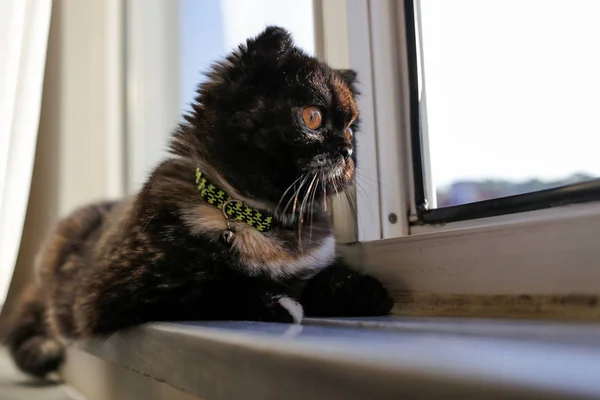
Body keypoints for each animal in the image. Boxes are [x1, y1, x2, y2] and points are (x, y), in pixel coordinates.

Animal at [4, 25, 394, 378]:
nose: (346, 152)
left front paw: (363, 290)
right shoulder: (116, 291)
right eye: (313, 117)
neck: (259, 217)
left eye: (351, 129)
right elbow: (214, 286)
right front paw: (282, 304)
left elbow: (319, 277)